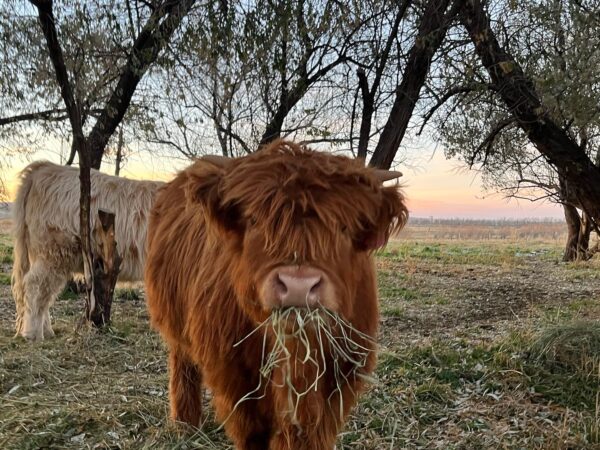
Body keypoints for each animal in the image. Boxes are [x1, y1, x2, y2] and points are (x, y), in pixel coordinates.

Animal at [145, 141, 408, 450]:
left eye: (344, 227)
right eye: (254, 219)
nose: (298, 285)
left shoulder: (341, 378)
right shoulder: (235, 379)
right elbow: (252, 431)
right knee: (183, 364)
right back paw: (186, 424)